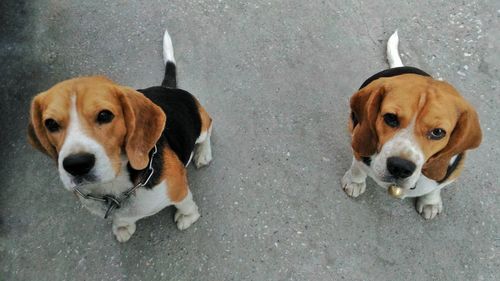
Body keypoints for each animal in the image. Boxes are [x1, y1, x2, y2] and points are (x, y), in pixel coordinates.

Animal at [26, 28, 213, 241]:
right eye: (50, 124)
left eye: (105, 115)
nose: (76, 164)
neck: (114, 188)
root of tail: (168, 88)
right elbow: (121, 220)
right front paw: (123, 227)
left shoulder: (179, 188)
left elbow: (185, 203)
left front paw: (187, 216)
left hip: (200, 123)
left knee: (208, 129)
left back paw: (203, 154)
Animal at [342, 31, 482, 219]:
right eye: (390, 118)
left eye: (438, 132)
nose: (400, 167)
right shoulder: (359, 147)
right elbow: (358, 167)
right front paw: (354, 181)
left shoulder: (453, 171)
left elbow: (437, 187)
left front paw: (431, 202)